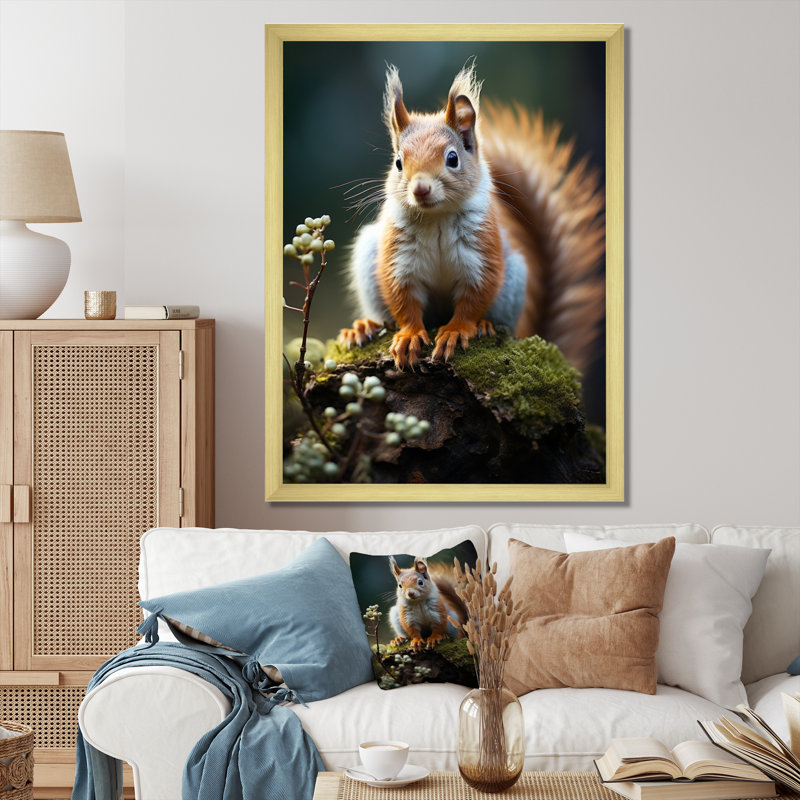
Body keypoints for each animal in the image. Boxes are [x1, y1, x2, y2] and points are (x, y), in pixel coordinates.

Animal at [338, 62, 605, 372]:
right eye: (398, 162)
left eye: (452, 158)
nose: (420, 189)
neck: (437, 218)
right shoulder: (398, 259)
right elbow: (403, 299)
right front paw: (409, 335)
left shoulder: (481, 255)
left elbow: (474, 297)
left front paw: (456, 331)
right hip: (368, 255)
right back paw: (364, 327)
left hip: (513, 280)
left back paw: (487, 326)